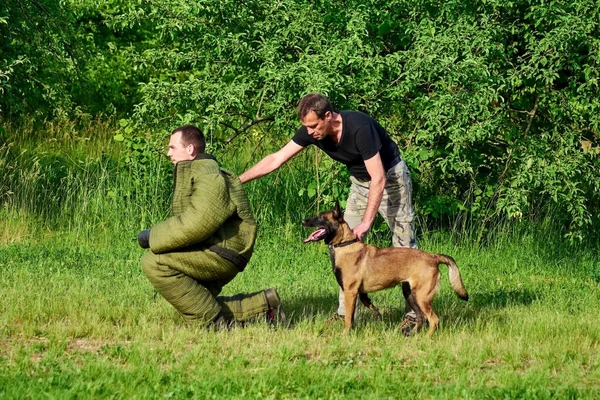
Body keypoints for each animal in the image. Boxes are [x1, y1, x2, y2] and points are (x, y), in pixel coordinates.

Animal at [302, 202, 466, 336]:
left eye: (321, 217)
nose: (303, 221)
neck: (345, 244)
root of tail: (433, 257)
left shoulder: (350, 292)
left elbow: (349, 318)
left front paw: (345, 334)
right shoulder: (360, 293)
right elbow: (365, 306)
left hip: (421, 297)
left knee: (433, 319)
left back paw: (426, 338)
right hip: (410, 294)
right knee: (421, 318)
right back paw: (412, 335)